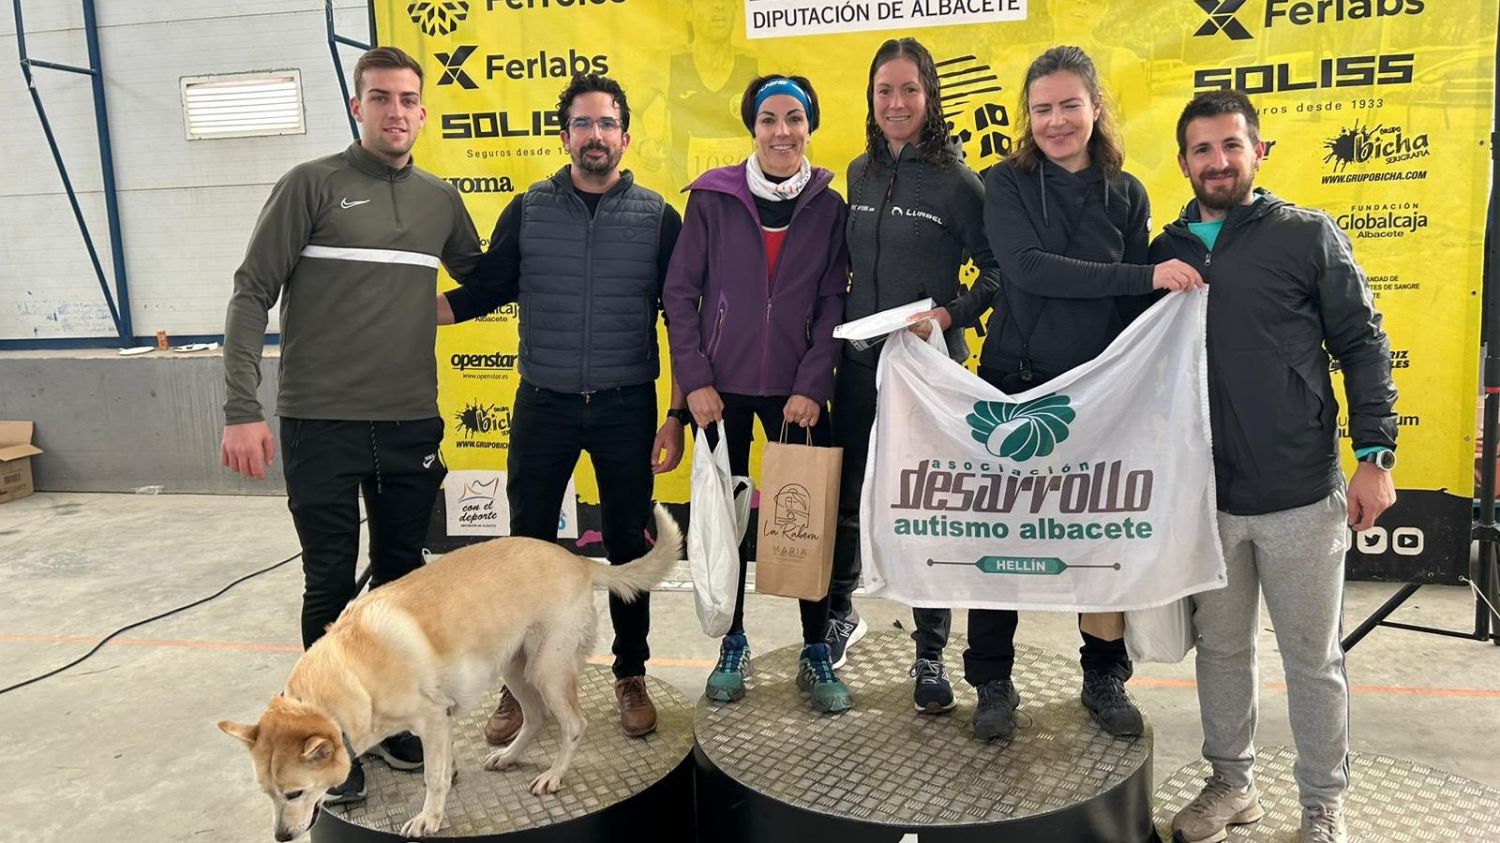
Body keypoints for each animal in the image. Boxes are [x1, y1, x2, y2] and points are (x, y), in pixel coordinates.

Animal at [219, 501, 684, 834]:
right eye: (267, 793)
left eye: (294, 792)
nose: (281, 837)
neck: (351, 676)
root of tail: (579, 561)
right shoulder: (439, 722)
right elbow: (442, 764)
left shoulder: (432, 717)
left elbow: (433, 778)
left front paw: (430, 817)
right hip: (515, 668)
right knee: (535, 718)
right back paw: (509, 756)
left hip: (546, 670)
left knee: (573, 725)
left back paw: (552, 776)